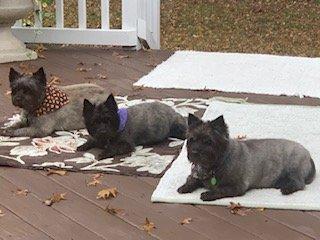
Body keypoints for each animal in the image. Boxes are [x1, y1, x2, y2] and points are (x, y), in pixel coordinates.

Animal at [179, 114, 316, 201]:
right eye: (192, 139)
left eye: (208, 141)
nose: (194, 152)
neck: (216, 164)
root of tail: (308, 154)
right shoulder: (196, 174)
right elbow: (192, 180)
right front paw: (185, 187)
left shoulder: (237, 187)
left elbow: (221, 189)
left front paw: (208, 194)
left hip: (293, 167)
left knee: (299, 183)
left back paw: (287, 188)